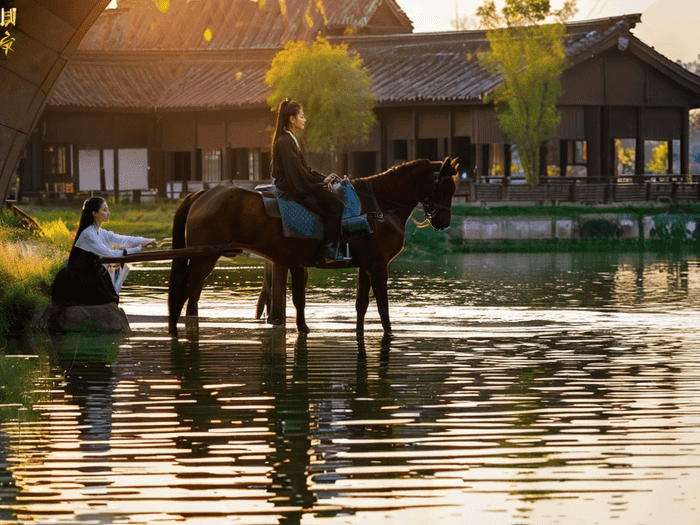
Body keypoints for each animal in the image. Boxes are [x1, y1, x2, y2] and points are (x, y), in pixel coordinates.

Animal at [167, 156, 462, 336]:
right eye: (446, 187)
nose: (443, 221)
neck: (377, 205)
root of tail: (203, 193)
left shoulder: (364, 265)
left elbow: (362, 304)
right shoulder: (378, 265)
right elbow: (382, 305)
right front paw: (389, 332)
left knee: (189, 293)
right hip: (205, 257)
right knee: (187, 292)